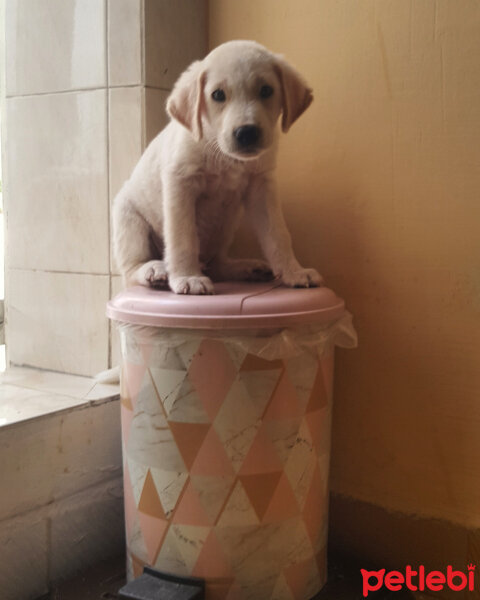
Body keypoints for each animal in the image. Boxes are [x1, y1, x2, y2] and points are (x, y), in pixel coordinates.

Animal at [112, 38, 322, 294]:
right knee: (131, 271)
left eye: (266, 90)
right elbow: (183, 238)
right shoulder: (180, 184)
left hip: (226, 225)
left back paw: (246, 268)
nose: (246, 133)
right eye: (218, 95)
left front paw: (294, 271)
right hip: (128, 219)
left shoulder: (262, 185)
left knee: (217, 265)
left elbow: (278, 234)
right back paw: (155, 270)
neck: (223, 156)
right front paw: (188, 277)